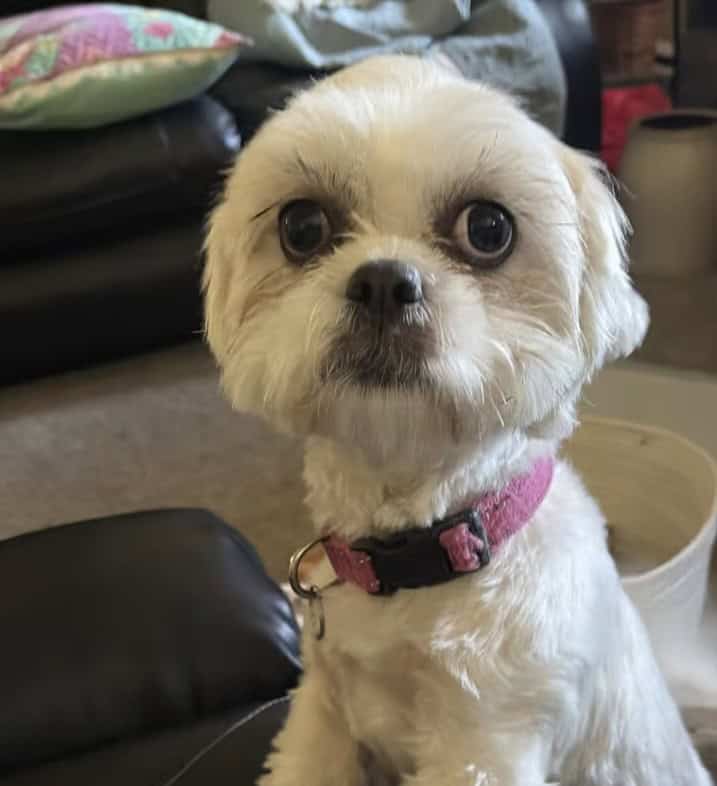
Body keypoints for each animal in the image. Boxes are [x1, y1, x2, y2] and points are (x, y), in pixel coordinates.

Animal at [204, 55, 712, 786]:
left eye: (488, 229)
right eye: (301, 227)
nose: (383, 282)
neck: (420, 555)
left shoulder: (483, 741)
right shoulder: (322, 716)